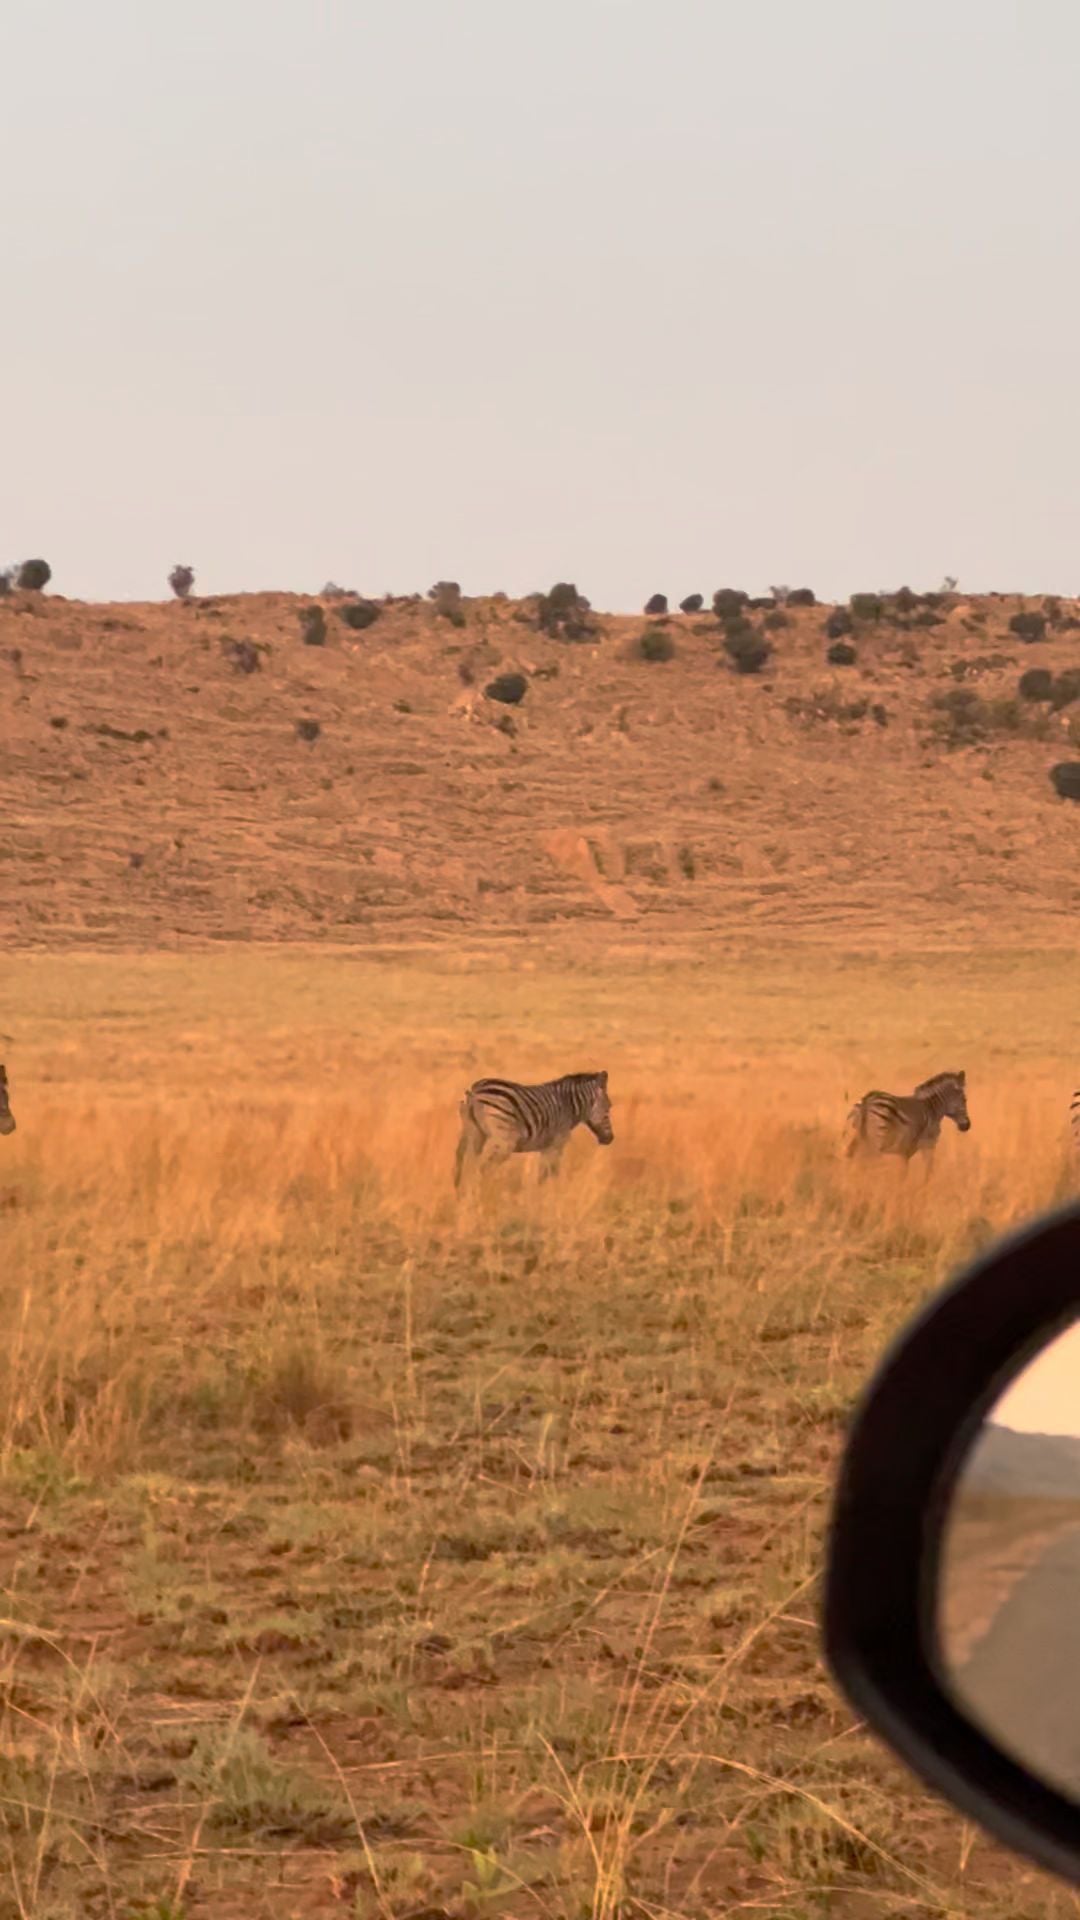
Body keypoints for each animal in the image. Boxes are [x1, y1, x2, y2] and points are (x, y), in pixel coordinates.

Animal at [449, 1075, 611, 1190]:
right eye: (609, 1107)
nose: (610, 1139)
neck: (568, 1106)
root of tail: (475, 1091)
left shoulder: (546, 1147)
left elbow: (543, 1175)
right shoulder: (556, 1144)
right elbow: (551, 1173)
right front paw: (551, 1196)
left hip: (473, 1132)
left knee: (462, 1161)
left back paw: (460, 1192)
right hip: (504, 1141)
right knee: (483, 1169)